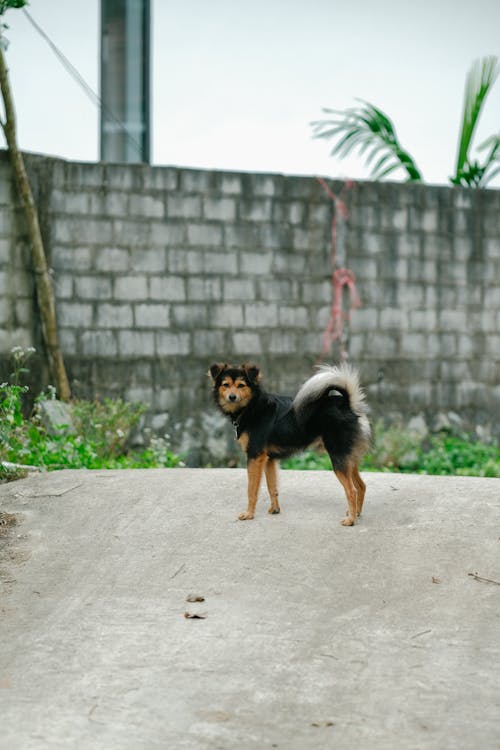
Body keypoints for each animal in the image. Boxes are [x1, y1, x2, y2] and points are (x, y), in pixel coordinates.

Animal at [208, 362, 372, 524]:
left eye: (241, 385)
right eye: (225, 385)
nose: (232, 397)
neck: (251, 406)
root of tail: (347, 404)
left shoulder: (255, 457)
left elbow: (251, 490)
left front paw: (249, 514)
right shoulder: (269, 460)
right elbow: (272, 487)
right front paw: (275, 510)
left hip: (338, 457)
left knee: (352, 490)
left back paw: (350, 520)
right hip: (348, 458)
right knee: (361, 486)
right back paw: (356, 513)